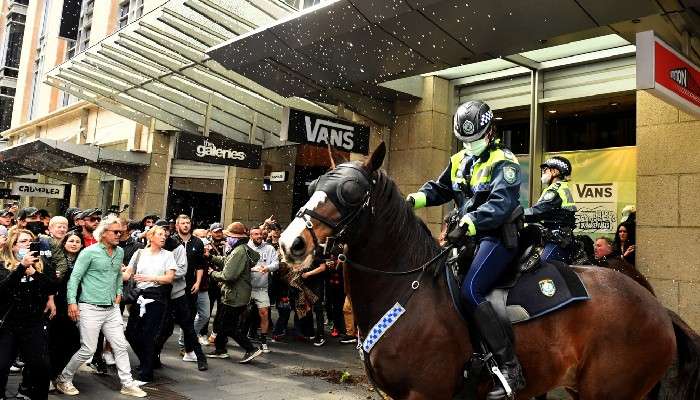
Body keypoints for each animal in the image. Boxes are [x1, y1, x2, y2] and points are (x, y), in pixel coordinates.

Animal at [278, 144, 700, 400]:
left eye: (351, 191)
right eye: (314, 184)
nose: (290, 244)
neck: (407, 293)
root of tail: (659, 309)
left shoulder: (425, 393)